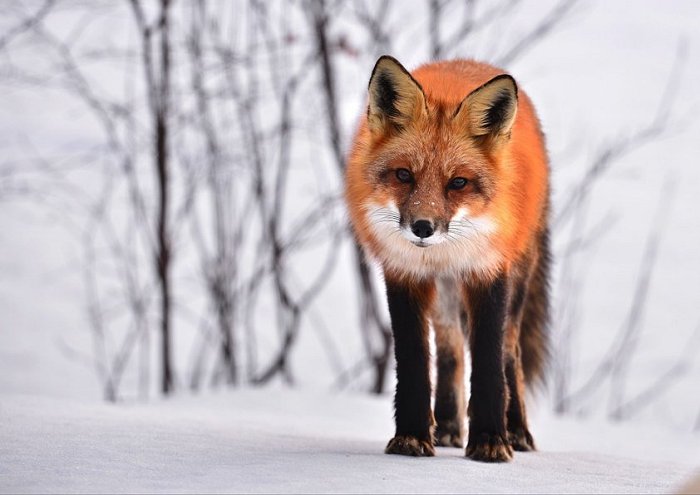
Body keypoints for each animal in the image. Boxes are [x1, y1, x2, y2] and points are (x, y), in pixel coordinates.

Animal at [345, 56, 550, 462]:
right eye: (404, 175)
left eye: (458, 183)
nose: (423, 227)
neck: (443, 252)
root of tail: (470, 62)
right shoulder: (404, 274)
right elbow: (414, 362)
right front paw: (411, 436)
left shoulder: (488, 272)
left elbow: (488, 364)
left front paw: (490, 440)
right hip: (443, 296)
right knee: (450, 350)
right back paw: (448, 426)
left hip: (517, 279)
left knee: (510, 352)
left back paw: (517, 431)